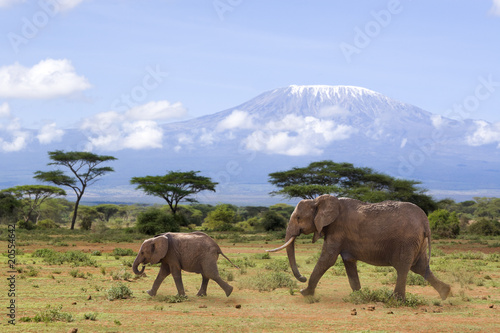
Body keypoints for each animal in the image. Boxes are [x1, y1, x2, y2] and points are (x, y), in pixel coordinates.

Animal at [268, 193, 452, 300]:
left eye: (298, 218)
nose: (302, 278)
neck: (318, 201)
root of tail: (425, 222)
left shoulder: (337, 229)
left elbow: (327, 259)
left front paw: (304, 293)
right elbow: (348, 262)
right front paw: (358, 295)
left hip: (407, 241)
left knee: (403, 267)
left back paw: (395, 300)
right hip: (417, 242)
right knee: (420, 267)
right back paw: (446, 293)